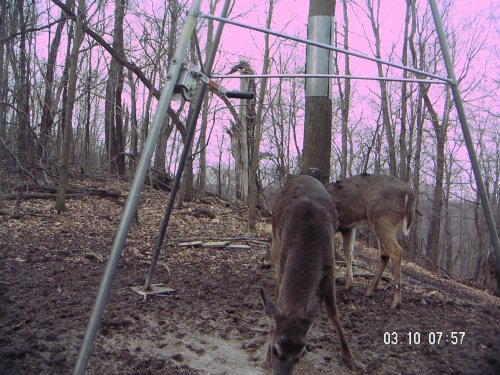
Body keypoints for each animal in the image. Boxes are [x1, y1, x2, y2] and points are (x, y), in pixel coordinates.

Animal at [260, 176, 354, 375]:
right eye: (275, 349)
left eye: (299, 354)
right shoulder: (283, 257)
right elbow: (279, 296)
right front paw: (266, 357)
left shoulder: (329, 265)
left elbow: (333, 312)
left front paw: (349, 358)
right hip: (276, 238)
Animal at [322, 173, 416, 308]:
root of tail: (410, 193)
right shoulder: (348, 227)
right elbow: (348, 252)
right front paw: (348, 284)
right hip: (386, 224)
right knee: (384, 254)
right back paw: (369, 291)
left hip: (382, 218)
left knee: (396, 251)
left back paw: (395, 301)